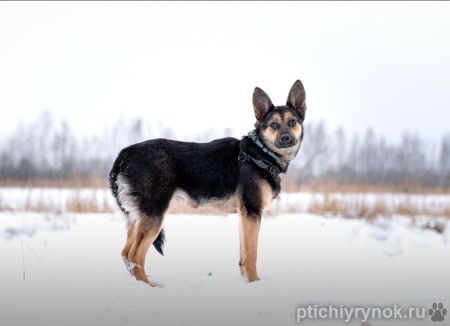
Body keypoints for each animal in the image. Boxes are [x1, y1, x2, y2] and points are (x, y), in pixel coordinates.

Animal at [108, 79, 306, 286]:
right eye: (273, 124)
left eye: (292, 122)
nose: (286, 138)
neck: (259, 154)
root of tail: (124, 155)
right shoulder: (252, 212)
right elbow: (251, 255)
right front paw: (254, 283)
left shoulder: (244, 216)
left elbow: (243, 255)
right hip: (154, 216)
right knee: (135, 255)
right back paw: (149, 287)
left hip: (136, 218)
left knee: (125, 253)